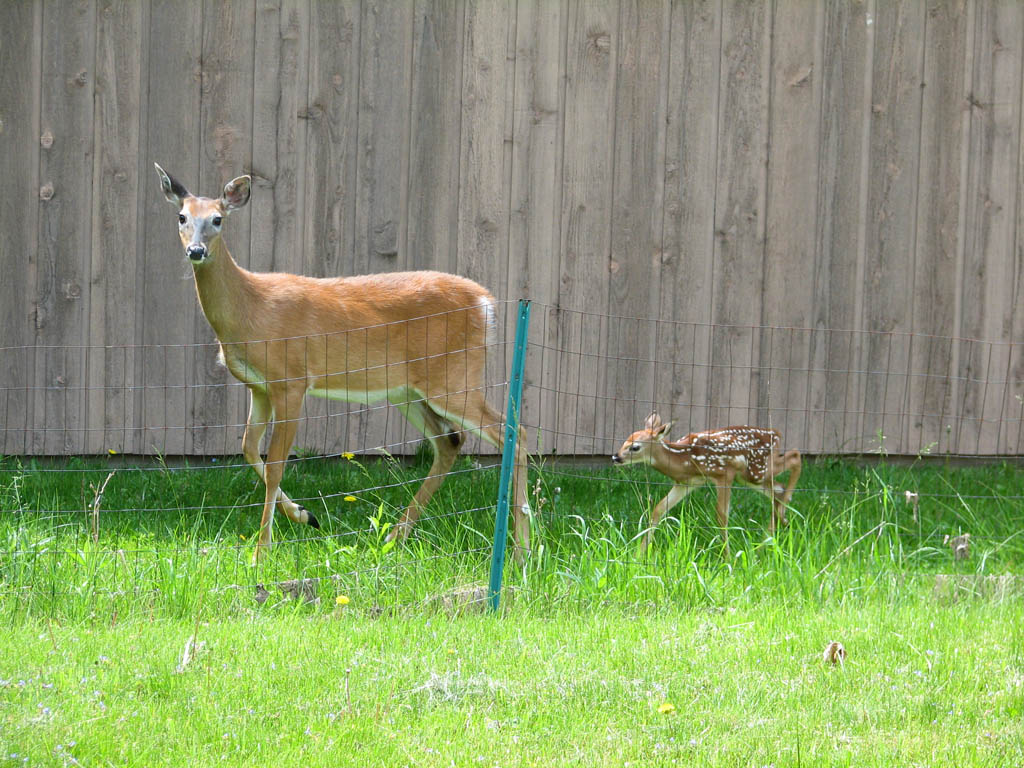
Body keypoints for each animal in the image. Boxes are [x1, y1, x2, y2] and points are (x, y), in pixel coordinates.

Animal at [155, 165, 532, 561]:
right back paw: (394, 536)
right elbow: (247, 448)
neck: (251, 310)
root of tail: (487, 303)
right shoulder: (259, 387)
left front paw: (262, 552)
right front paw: (305, 515)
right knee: (450, 442)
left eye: (218, 219)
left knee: (513, 431)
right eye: (182, 216)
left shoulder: (291, 380)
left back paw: (521, 550)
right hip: (408, 389)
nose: (196, 250)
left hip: (455, 378)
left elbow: (275, 465)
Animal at [610, 415, 802, 552]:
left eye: (635, 447)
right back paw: (769, 539)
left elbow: (721, 516)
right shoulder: (685, 483)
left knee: (795, 456)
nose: (615, 457)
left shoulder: (724, 473)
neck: (685, 458)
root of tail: (776, 434)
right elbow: (658, 509)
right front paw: (639, 554)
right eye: (625, 440)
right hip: (749, 477)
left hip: (756, 470)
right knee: (779, 489)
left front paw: (727, 558)